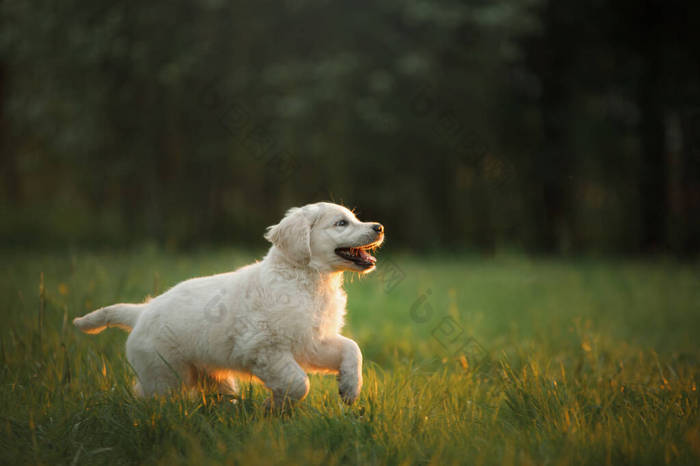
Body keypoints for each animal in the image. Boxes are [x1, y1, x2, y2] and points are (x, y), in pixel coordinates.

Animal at [74, 202, 386, 406]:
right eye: (341, 223)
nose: (379, 227)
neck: (308, 280)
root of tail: (140, 312)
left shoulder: (311, 341)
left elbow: (352, 348)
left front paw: (350, 388)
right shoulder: (264, 346)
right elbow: (299, 383)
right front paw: (276, 407)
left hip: (208, 375)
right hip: (163, 374)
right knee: (152, 398)